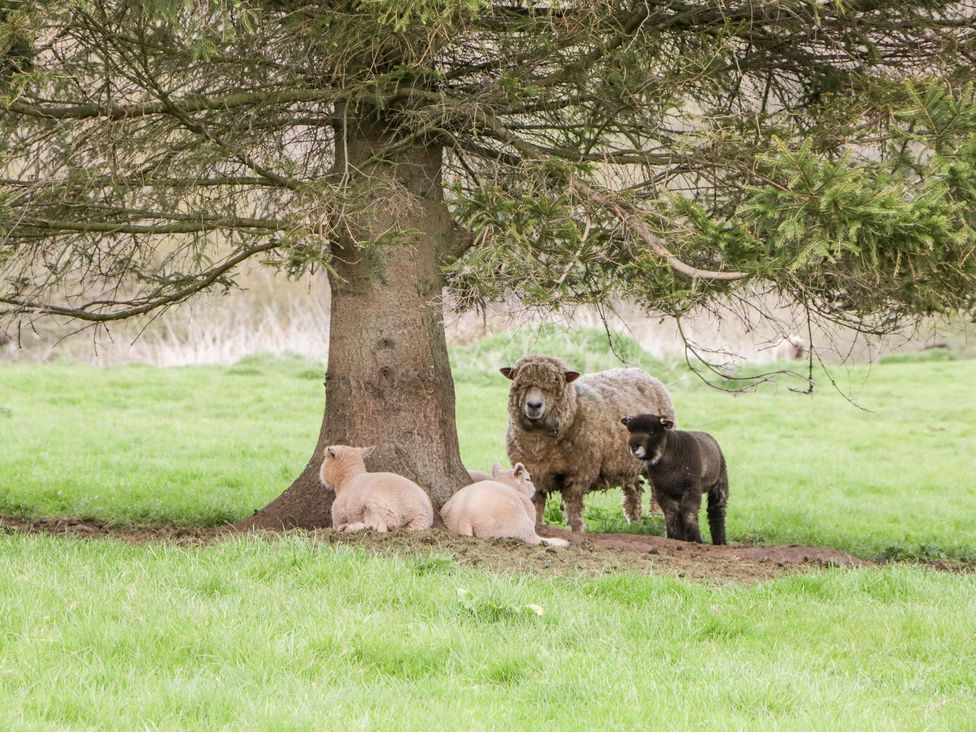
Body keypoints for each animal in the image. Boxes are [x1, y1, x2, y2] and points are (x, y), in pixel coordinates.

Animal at [441, 463, 570, 547]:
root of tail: (464, 518)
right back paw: (560, 542)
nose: (534, 488)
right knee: (536, 540)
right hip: (520, 525)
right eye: (528, 479)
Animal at [501, 354, 676, 533]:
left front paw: (577, 531)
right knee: (633, 492)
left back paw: (657, 519)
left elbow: (573, 506)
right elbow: (536, 502)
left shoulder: (579, 474)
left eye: (555, 384)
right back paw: (634, 524)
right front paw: (535, 525)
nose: (534, 405)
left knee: (655, 491)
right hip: (627, 464)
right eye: (520, 384)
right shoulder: (534, 473)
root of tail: (641, 372)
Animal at [621, 414, 728, 545]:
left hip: (720, 480)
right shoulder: (662, 490)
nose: (634, 448)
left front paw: (695, 539)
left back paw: (720, 542)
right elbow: (670, 513)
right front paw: (675, 537)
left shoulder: (692, 487)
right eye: (631, 432)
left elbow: (689, 513)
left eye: (651, 432)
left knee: (717, 510)